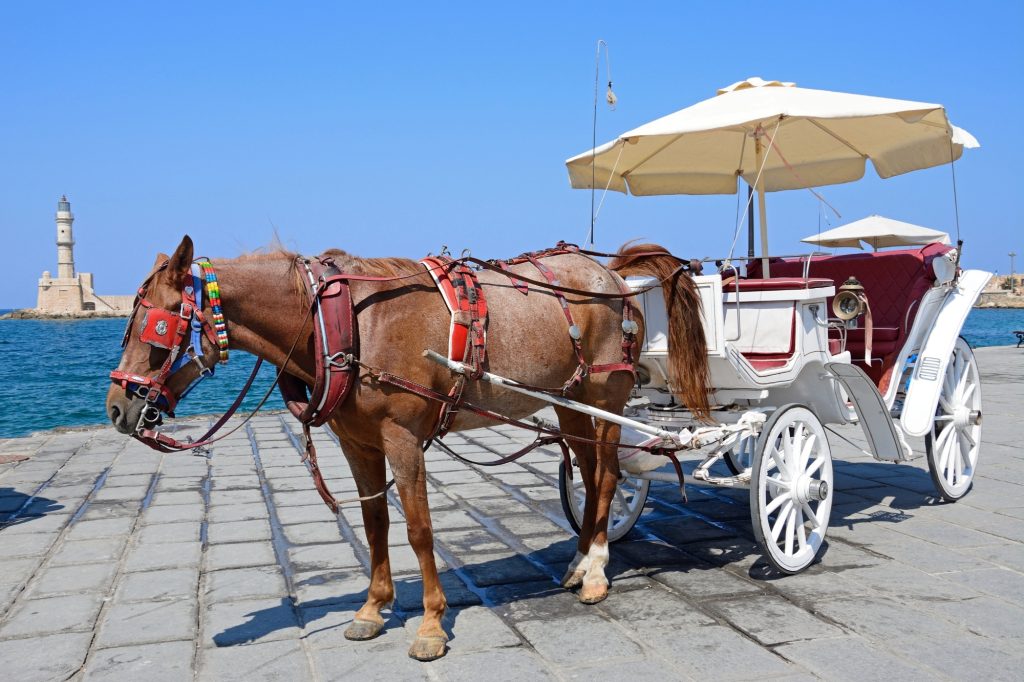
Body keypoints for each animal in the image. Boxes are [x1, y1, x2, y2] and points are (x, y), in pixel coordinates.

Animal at [106, 235, 709, 660]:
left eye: (154, 325)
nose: (115, 408)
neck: (342, 322)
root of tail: (613, 274)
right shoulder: (358, 444)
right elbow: (375, 524)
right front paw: (373, 609)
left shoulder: (402, 437)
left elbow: (419, 529)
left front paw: (431, 624)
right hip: (570, 402)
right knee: (587, 474)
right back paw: (579, 563)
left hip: (604, 396)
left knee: (606, 478)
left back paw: (598, 573)